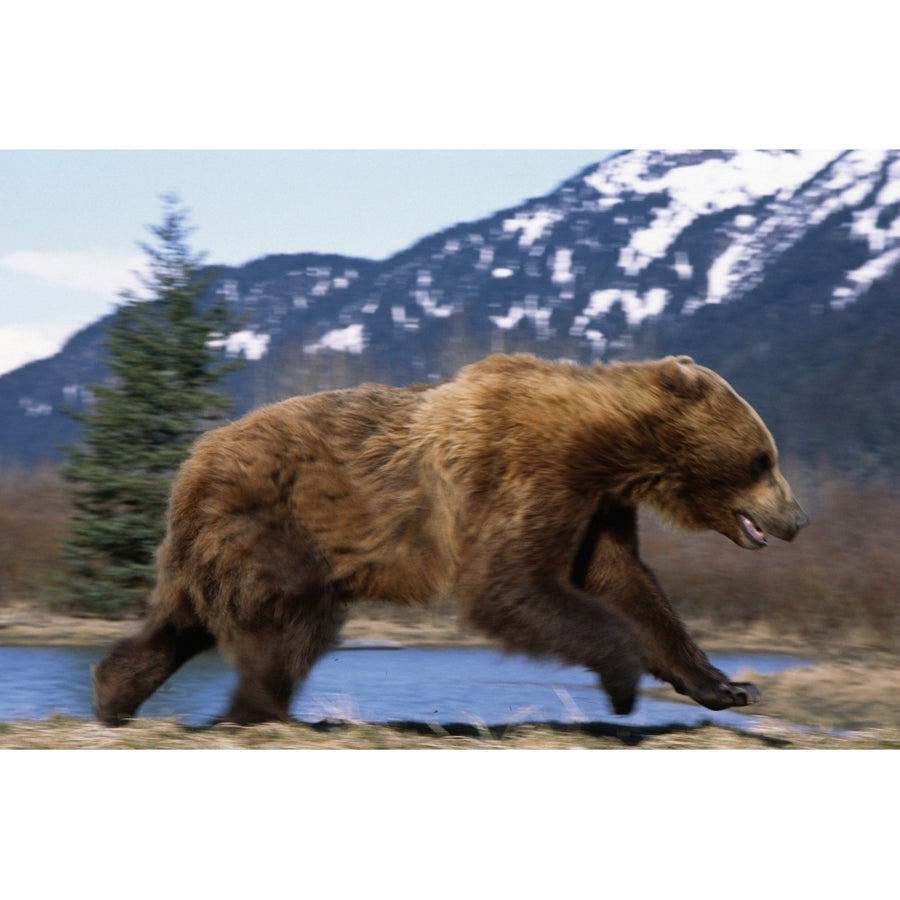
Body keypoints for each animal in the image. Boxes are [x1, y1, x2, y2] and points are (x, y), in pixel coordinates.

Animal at [93, 356, 808, 728]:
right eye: (763, 459)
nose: (797, 518)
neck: (608, 446)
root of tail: (193, 461)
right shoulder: (527, 469)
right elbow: (510, 584)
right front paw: (624, 682)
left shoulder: (598, 505)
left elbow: (627, 586)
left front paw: (728, 687)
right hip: (272, 522)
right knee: (292, 620)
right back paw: (266, 710)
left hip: (214, 549)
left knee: (178, 624)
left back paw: (113, 693)